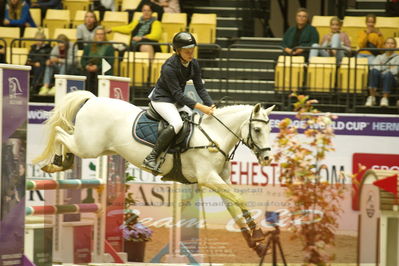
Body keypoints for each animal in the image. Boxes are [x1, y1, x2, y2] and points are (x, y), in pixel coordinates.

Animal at [33, 90, 276, 252]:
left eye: (268, 130)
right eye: (257, 129)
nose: (267, 158)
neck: (214, 136)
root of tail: (93, 99)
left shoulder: (220, 180)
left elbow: (235, 204)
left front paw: (254, 241)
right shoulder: (208, 178)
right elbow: (240, 200)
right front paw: (258, 234)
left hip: (98, 147)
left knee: (64, 134)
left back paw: (61, 161)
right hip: (88, 146)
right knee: (60, 132)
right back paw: (56, 162)